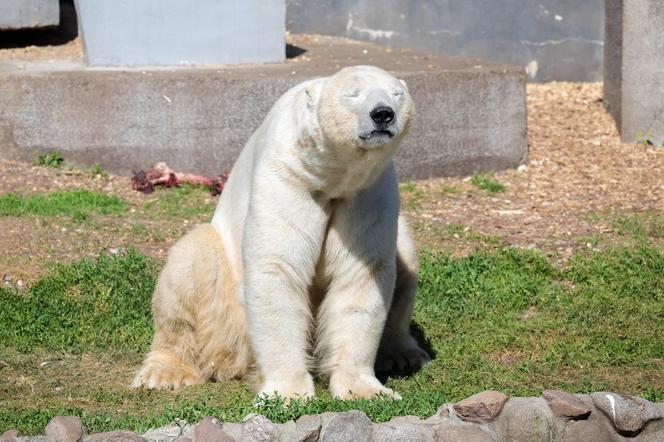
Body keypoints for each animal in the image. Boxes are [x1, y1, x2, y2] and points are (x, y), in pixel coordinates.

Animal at [132, 64, 430, 400]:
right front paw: (288, 393)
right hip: (226, 313)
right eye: (352, 94)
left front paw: (364, 390)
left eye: (397, 93)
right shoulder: (288, 176)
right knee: (190, 265)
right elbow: (277, 268)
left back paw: (405, 354)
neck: (332, 176)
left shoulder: (367, 191)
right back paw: (166, 371)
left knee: (406, 258)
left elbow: (362, 273)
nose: (382, 114)